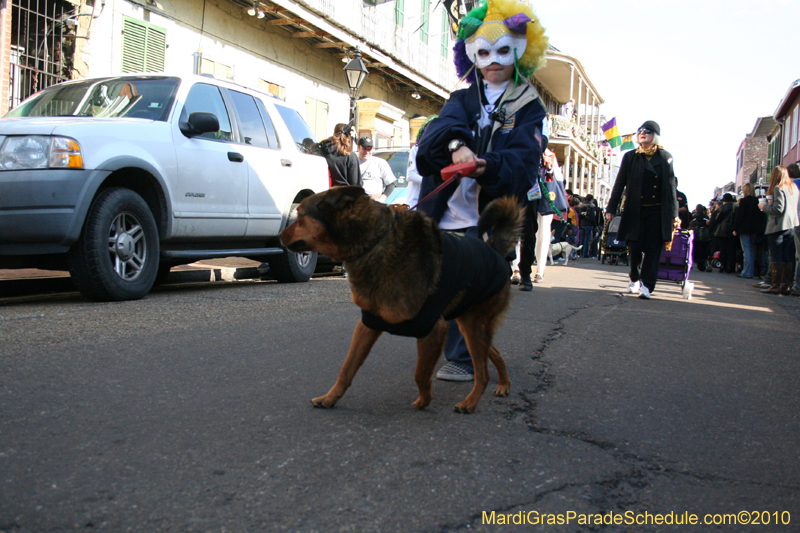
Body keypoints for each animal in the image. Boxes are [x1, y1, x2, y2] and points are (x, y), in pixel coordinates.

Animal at [282, 185, 524, 414]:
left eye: (300, 216)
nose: (280, 237)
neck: (374, 242)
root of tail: (494, 251)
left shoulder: (432, 329)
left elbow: (420, 374)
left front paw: (425, 401)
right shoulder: (368, 325)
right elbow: (347, 369)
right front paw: (330, 398)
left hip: (473, 326)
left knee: (482, 373)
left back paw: (470, 403)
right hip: (469, 323)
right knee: (494, 353)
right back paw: (504, 385)